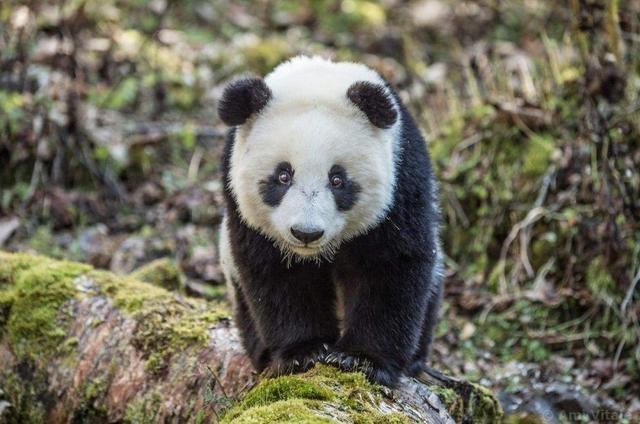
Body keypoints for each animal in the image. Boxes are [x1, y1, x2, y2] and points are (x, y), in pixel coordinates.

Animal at [218, 56, 442, 388]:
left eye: (337, 180)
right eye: (283, 176)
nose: (306, 233)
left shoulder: (402, 180)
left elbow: (391, 267)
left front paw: (362, 359)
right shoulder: (240, 201)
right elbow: (277, 275)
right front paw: (303, 352)